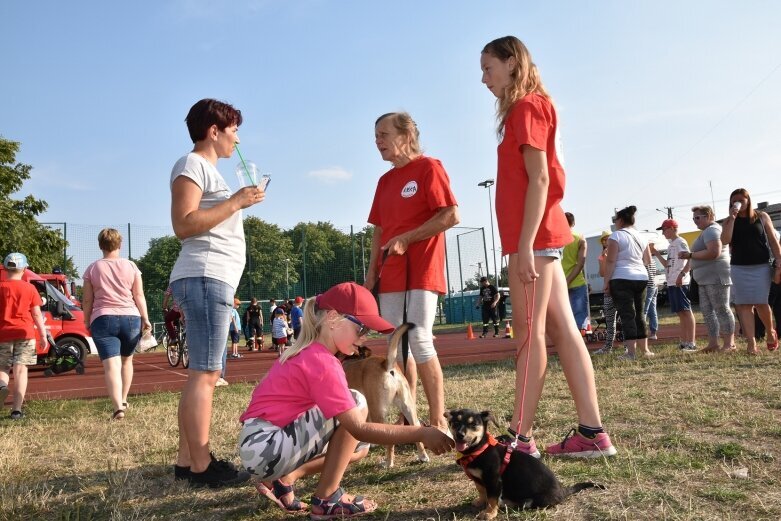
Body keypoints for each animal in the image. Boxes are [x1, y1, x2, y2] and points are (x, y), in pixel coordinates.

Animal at [342, 322, 426, 466]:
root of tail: (386, 365)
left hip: (379, 411)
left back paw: (388, 463)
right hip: (407, 407)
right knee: (416, 426)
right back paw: (423, 456)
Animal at [444, 408, 604, 516]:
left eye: (474, 424)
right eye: (455, 422)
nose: (460, 435)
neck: (478, 449)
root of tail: (563, 490)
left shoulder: (494, 480)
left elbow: (492, 498)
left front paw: (489, 513)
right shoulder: (479, 479)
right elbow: (482, 491)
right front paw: (480, 502)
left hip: (534, 501)